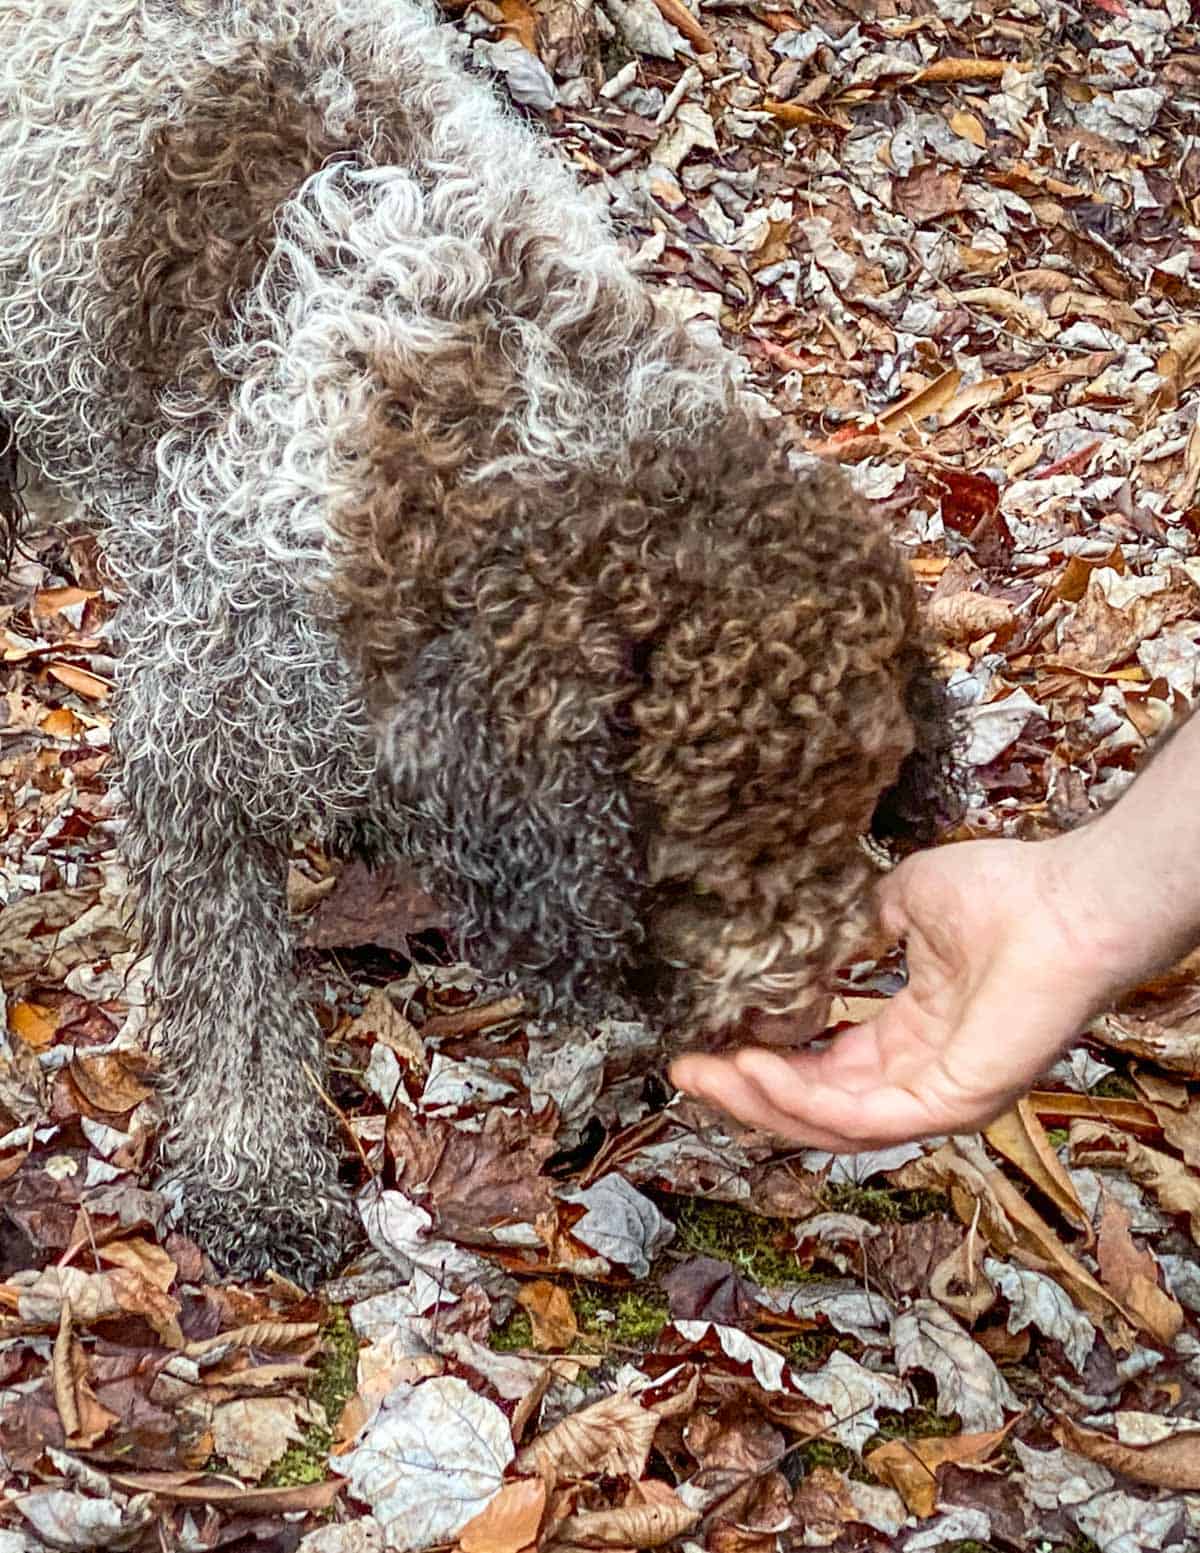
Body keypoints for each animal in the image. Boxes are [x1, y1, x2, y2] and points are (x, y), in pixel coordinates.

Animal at [0, 0, 956, 1279]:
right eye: (712, 858)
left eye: (851, 816)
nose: (802, 1014)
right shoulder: (204, 719)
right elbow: (232, 988)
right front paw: (259, 1175)